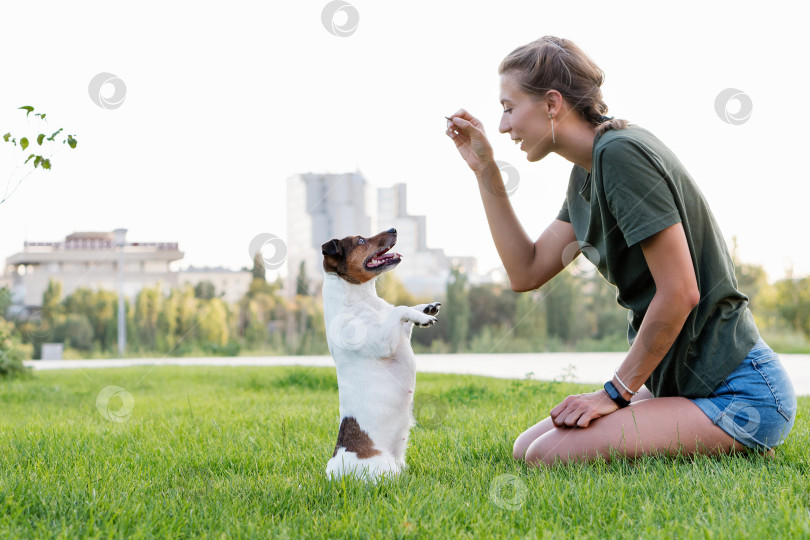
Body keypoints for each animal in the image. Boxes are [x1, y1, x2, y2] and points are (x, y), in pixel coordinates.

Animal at [318, 227, 438, 480]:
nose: (393, 229)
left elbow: (403, 311)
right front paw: (422, 316)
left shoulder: (401, 334)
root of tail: (333, 471)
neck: (361, 299)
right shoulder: (384, 342)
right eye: (361, 241)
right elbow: (400, 309)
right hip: (385, 471)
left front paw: (425, 309)